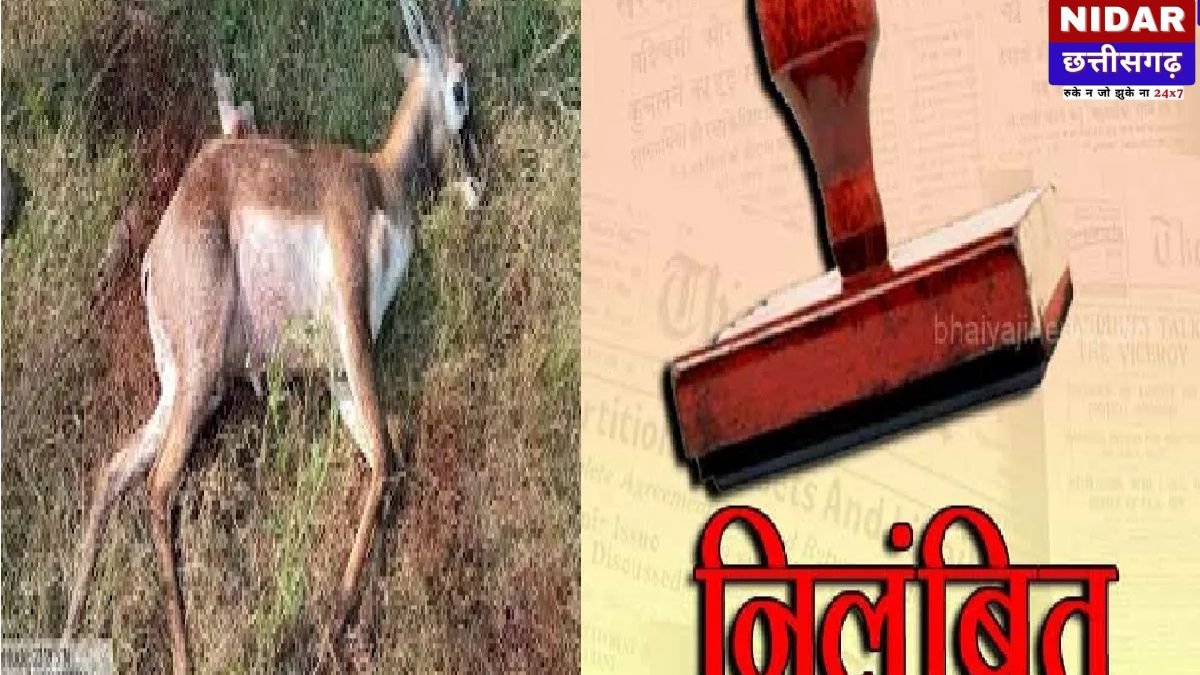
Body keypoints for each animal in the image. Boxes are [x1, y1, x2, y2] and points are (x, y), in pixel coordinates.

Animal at [61, 1, 481, 671]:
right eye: (460, 87)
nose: (476, 186)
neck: (379, 180)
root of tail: (156, 252)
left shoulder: (339, 372)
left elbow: (385, 456)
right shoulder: (353, 321)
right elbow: (389, 454)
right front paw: (333, 628)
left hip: (183, 389)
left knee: (112, 473)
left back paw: (69, 632)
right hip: (203, 376)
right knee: (157, 486)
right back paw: (182, 653)